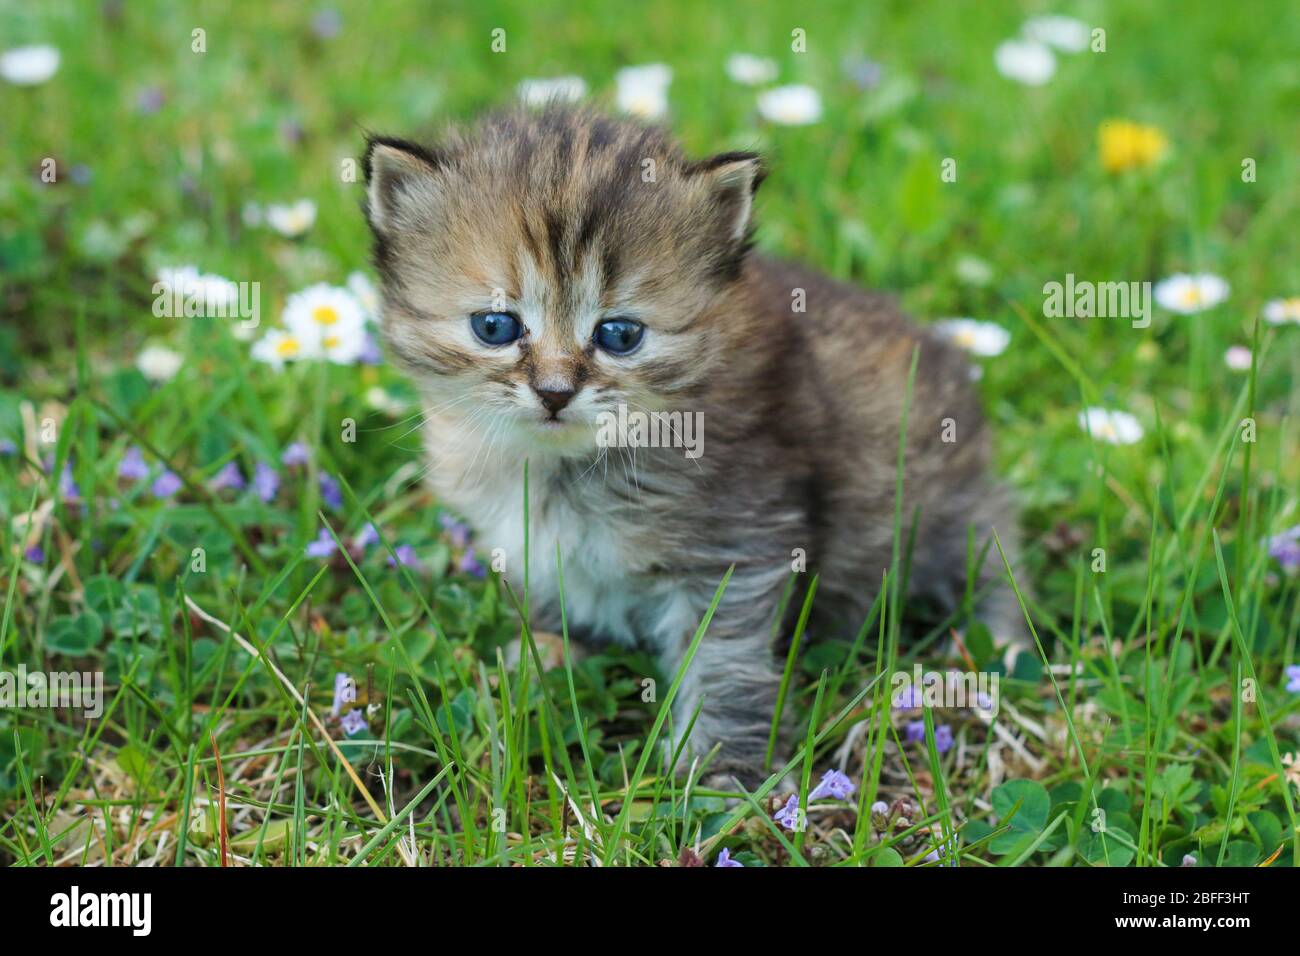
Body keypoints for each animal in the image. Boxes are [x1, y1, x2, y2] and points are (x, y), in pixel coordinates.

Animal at [361, 104, 1019, 780]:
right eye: (494, 326)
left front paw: (721, 777)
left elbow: (722, 663)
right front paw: (543, 658)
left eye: (620, 335)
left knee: (993, 549)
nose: (554, 392)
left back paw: (999, 643)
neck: (567, 467)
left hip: (948, 510)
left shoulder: (739, 547)